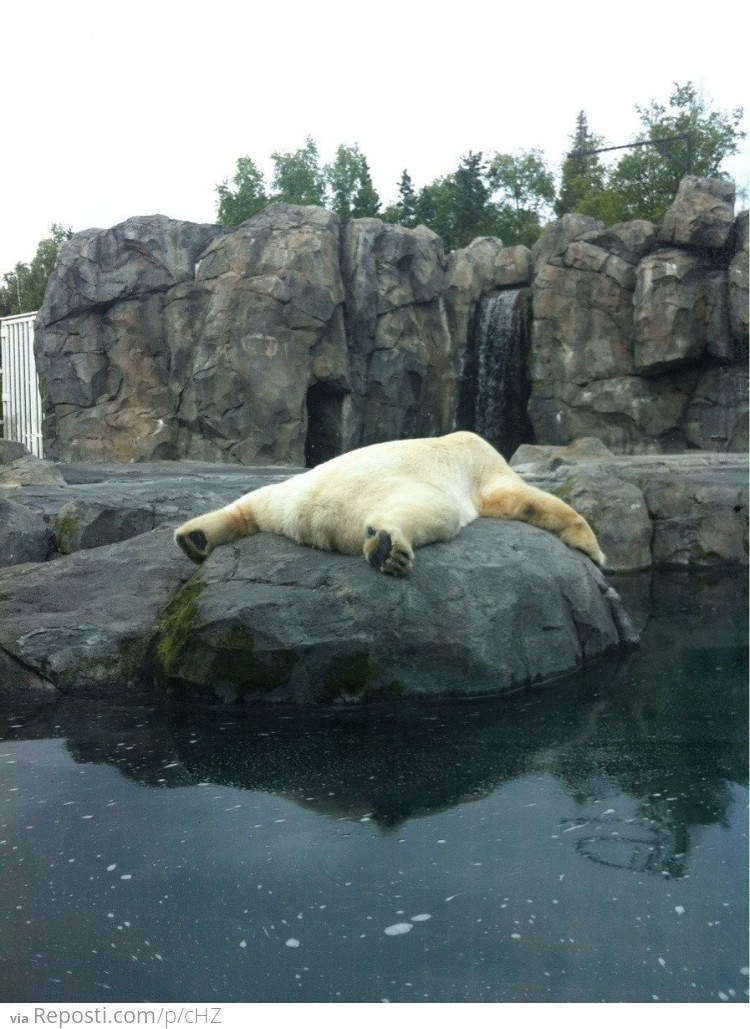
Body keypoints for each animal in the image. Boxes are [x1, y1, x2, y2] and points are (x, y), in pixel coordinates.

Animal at [172, 430, 604, 576]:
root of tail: (309, 515)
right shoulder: (483, 462)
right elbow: (523, 499)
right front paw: (594, 552)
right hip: (387, 490)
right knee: (428, 510)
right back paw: (389, 548)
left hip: (287, 492)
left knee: (252, 504)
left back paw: (195, 537)